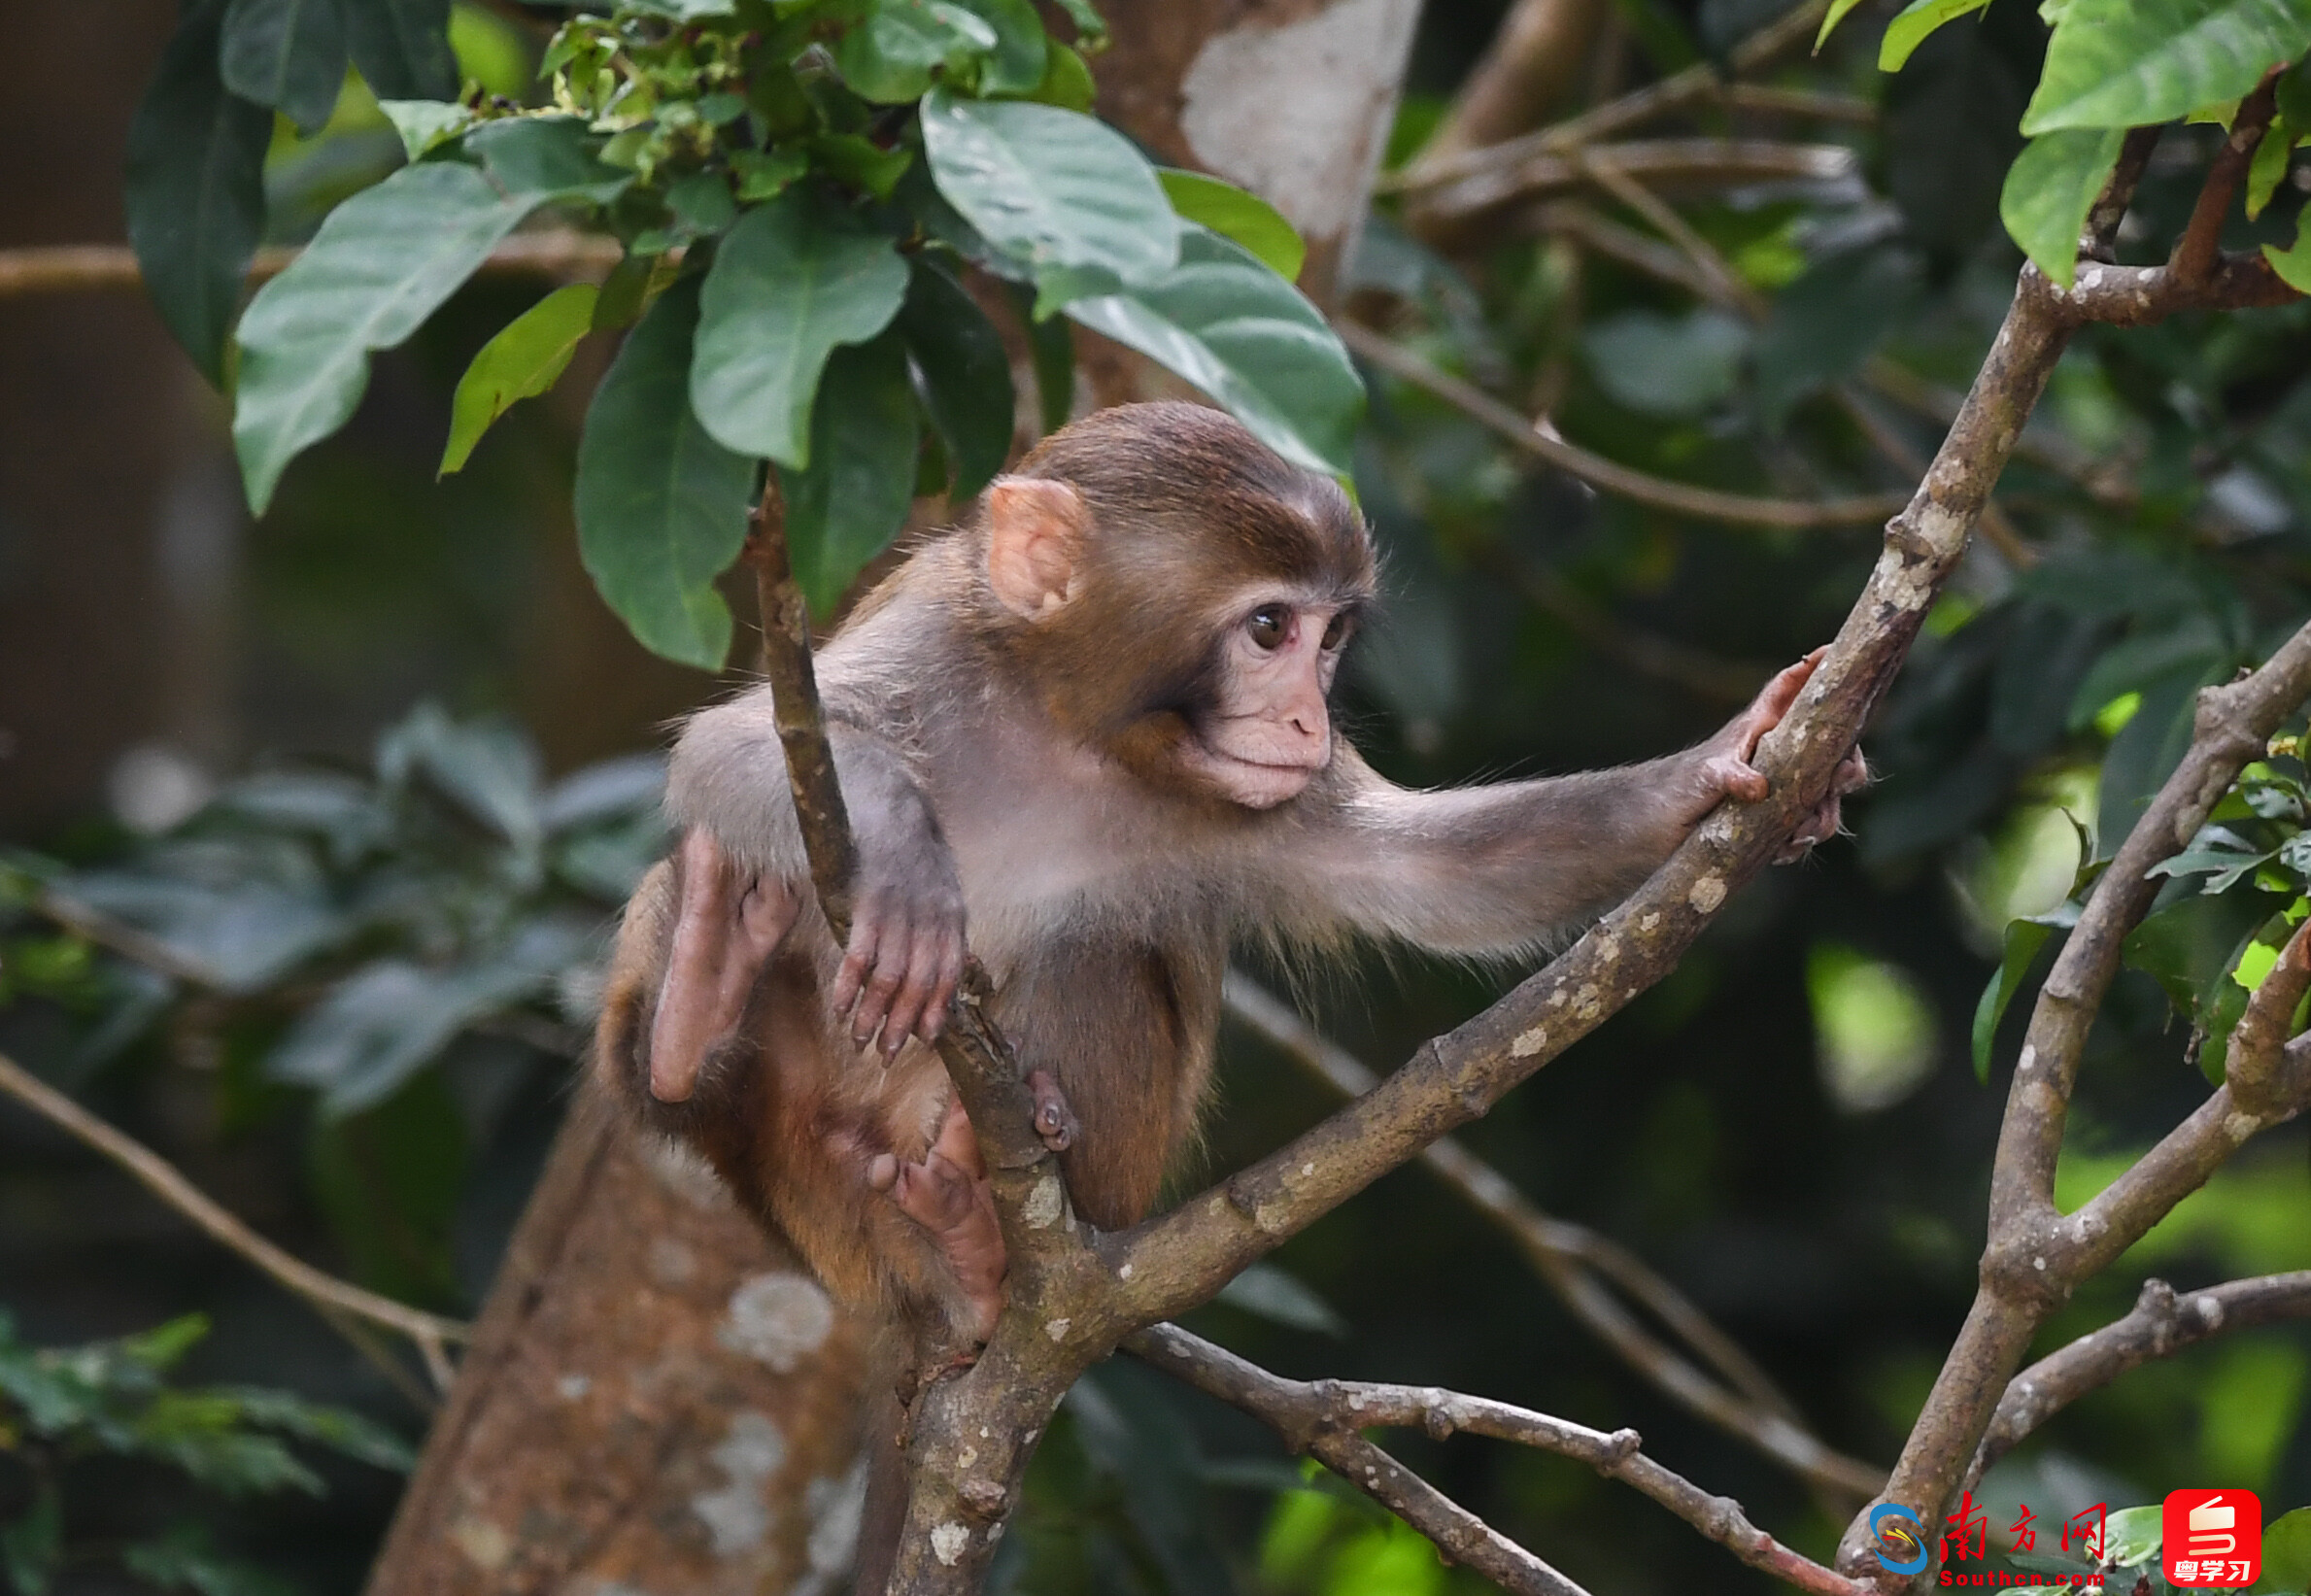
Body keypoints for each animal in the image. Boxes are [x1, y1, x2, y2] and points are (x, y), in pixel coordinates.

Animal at [592, 399, 1857, 1348]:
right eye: (1267, 630)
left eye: (1331, 636)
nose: (1308, 718)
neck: (1063, 729)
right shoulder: (931, 651)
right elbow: (733, 747)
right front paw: (907, 865)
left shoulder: (1240, 802)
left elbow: (1431, 872)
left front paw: (1717, 764)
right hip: (790, 1169)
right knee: (703, 886)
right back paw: (696, 1005)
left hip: (1089, 1182)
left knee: (1094, 945)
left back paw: (977, 1227)